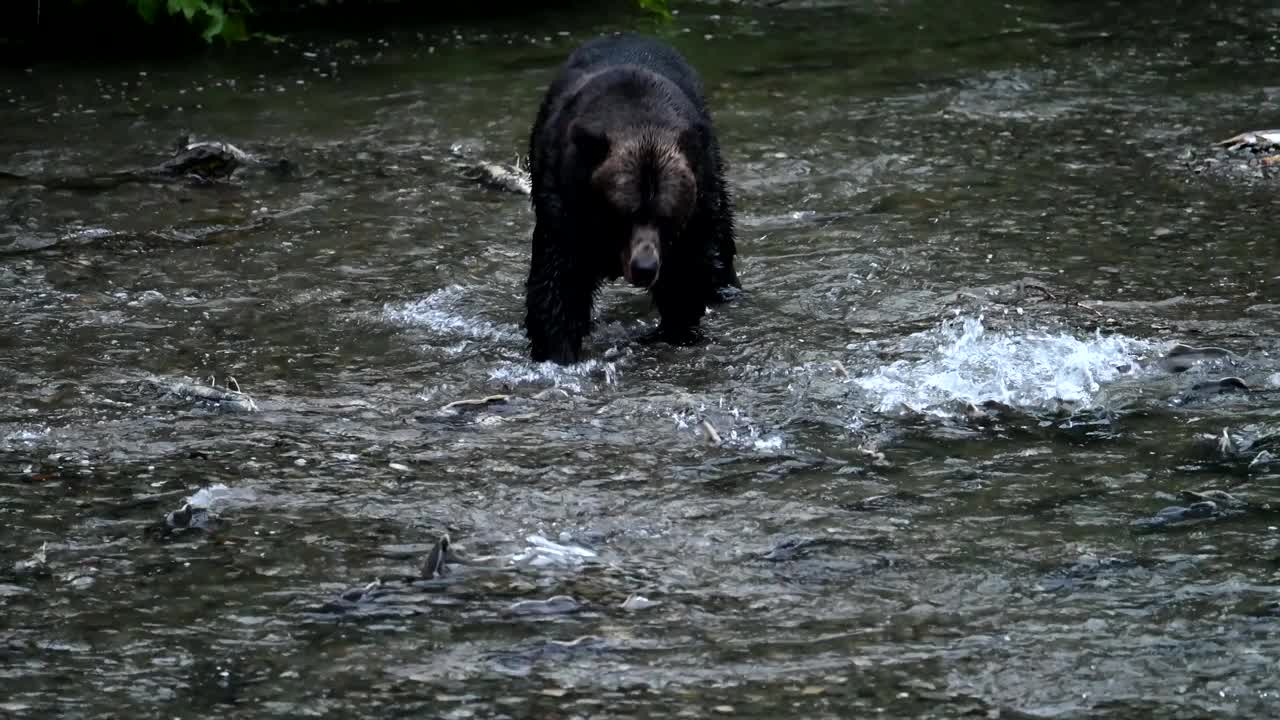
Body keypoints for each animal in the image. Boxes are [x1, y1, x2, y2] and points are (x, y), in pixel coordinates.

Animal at [522, 32, 742, 363]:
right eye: (622, 213)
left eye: (666, 217)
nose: (644, 268)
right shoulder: (565, 207)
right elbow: (558, 285)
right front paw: (556, 350)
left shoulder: (692, 217)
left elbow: (685, 276)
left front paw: (677, 331)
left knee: (719, 242)